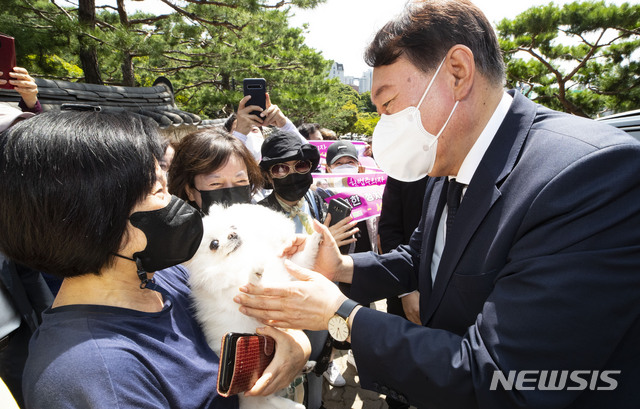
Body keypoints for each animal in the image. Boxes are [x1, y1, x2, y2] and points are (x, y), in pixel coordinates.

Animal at [188, 204, 322, 408]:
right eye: (214, 244)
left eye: (233, 226)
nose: (232, 235)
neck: (240, 258)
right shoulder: (240, 295)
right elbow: (251, 284)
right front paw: (255, 272)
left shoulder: (286, 273)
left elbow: (301, 259)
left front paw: (316, 236)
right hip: (259, 385)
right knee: (267, 398)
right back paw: (295, 404)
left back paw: (306, 367)